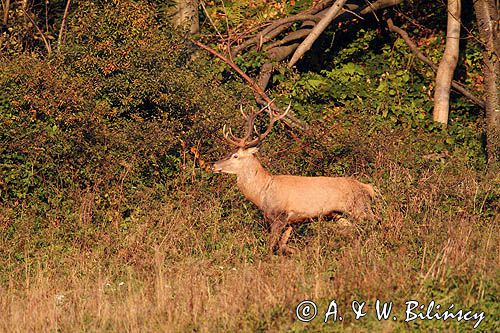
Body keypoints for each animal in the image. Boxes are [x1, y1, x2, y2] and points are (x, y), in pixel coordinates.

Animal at [212, 104, 376, 254]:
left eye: (235, 156)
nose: (214, 165)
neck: (263, 192)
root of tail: (368, 188)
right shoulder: (291, 222)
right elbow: (282, 245)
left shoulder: (279, 216)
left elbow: (271, 245)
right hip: (339, 215)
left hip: (359, 207)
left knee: (373, 222)